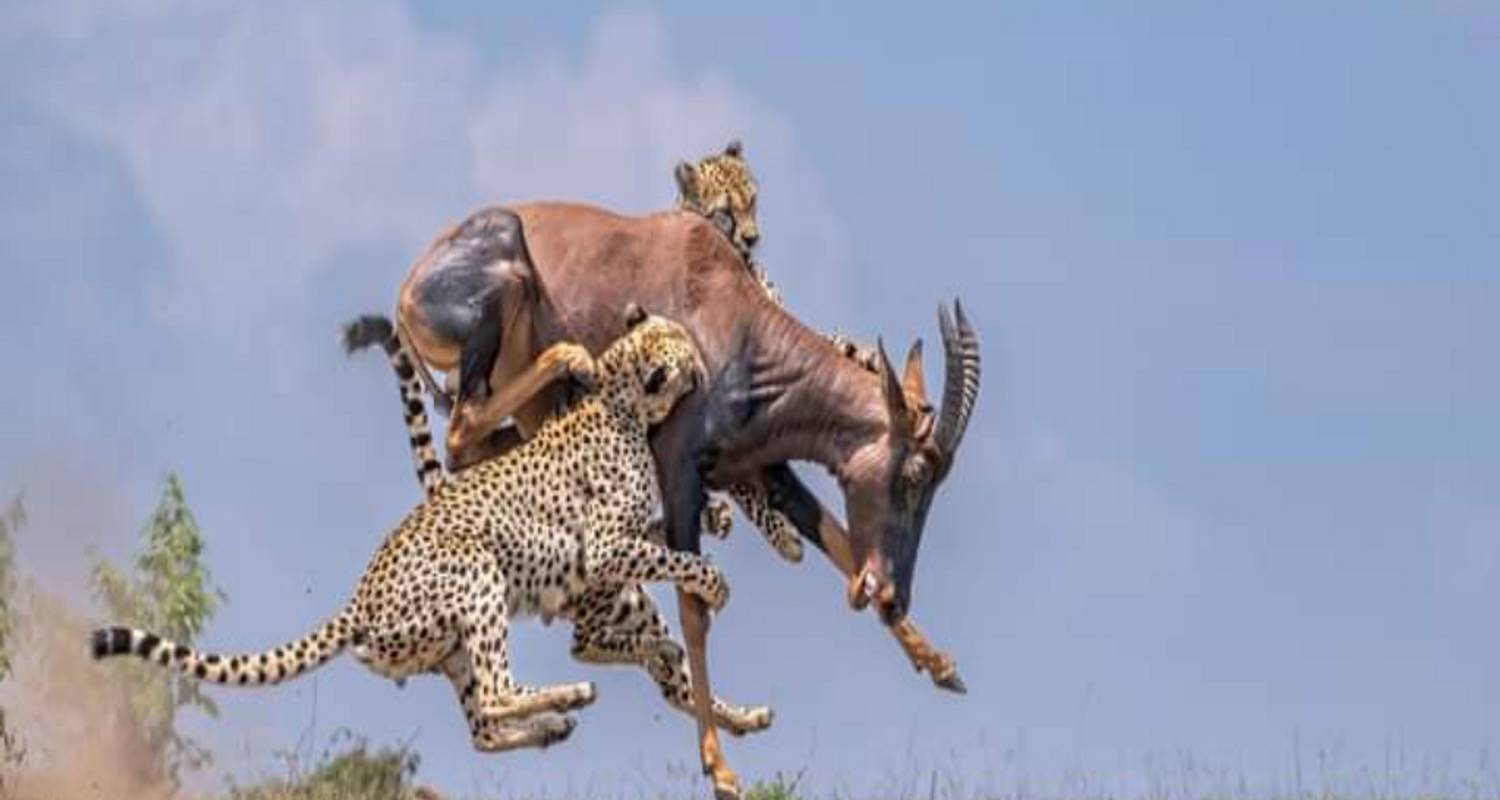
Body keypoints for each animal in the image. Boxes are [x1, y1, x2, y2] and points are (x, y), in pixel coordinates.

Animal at [92, 312, 772, 754]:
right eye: (681, 350)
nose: (703, 358)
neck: (618, 394)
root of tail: (359, 599)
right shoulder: (605, 549)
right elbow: (675, 559)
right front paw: (715, 583)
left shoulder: (622, 545)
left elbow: (662, 535)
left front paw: (716, 518)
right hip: (478, 577)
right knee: (506, 688)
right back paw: (573, 695)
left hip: (448, 647)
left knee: (489, 725)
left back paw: (721, 714)